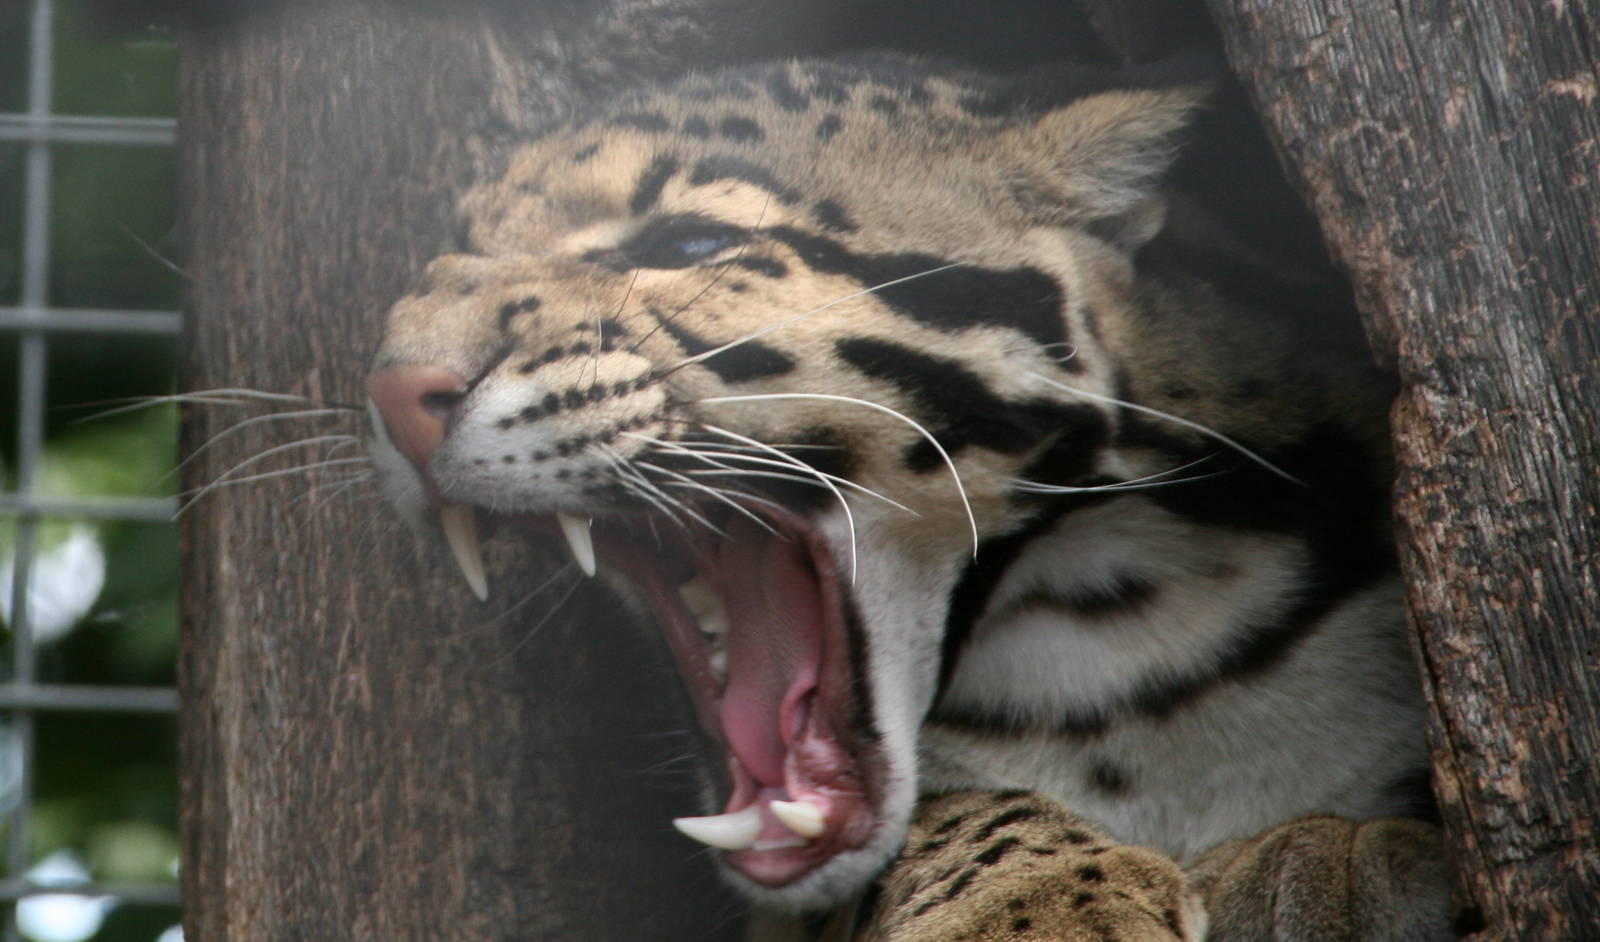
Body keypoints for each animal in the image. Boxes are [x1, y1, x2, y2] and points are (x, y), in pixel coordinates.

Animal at [364, 53, 1459, 939]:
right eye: (444, 260)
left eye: (686, 245)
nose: (392, 392)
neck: (1124, 644)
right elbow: (951, 813)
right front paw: (1038, 911)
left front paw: (1332, 854)